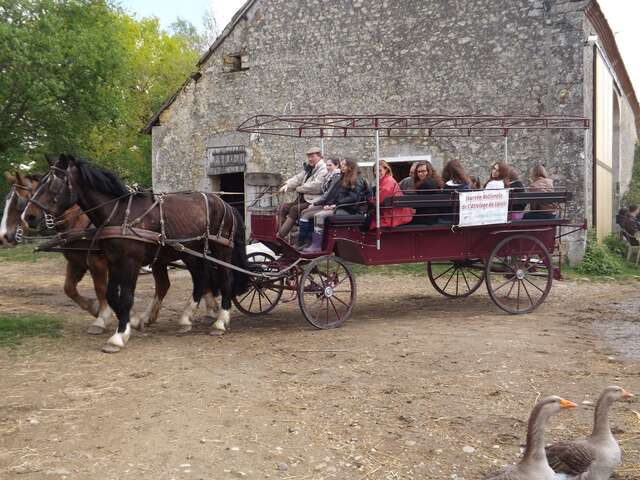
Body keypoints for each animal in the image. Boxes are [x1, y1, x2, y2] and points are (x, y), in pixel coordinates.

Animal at [21, 155, 248, 352]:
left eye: (52, 184)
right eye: (39, 183)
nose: (28, 216)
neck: (119, 213)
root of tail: (226, 204)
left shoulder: (130, 262)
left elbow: (127, 297)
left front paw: (119, 336)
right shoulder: (113, 261)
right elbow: (111, 295)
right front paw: (131, 323)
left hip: (220, 250)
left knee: (224, 280)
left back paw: (220, 322)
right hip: (192, 251)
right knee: (200, 279)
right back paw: (186, 319)